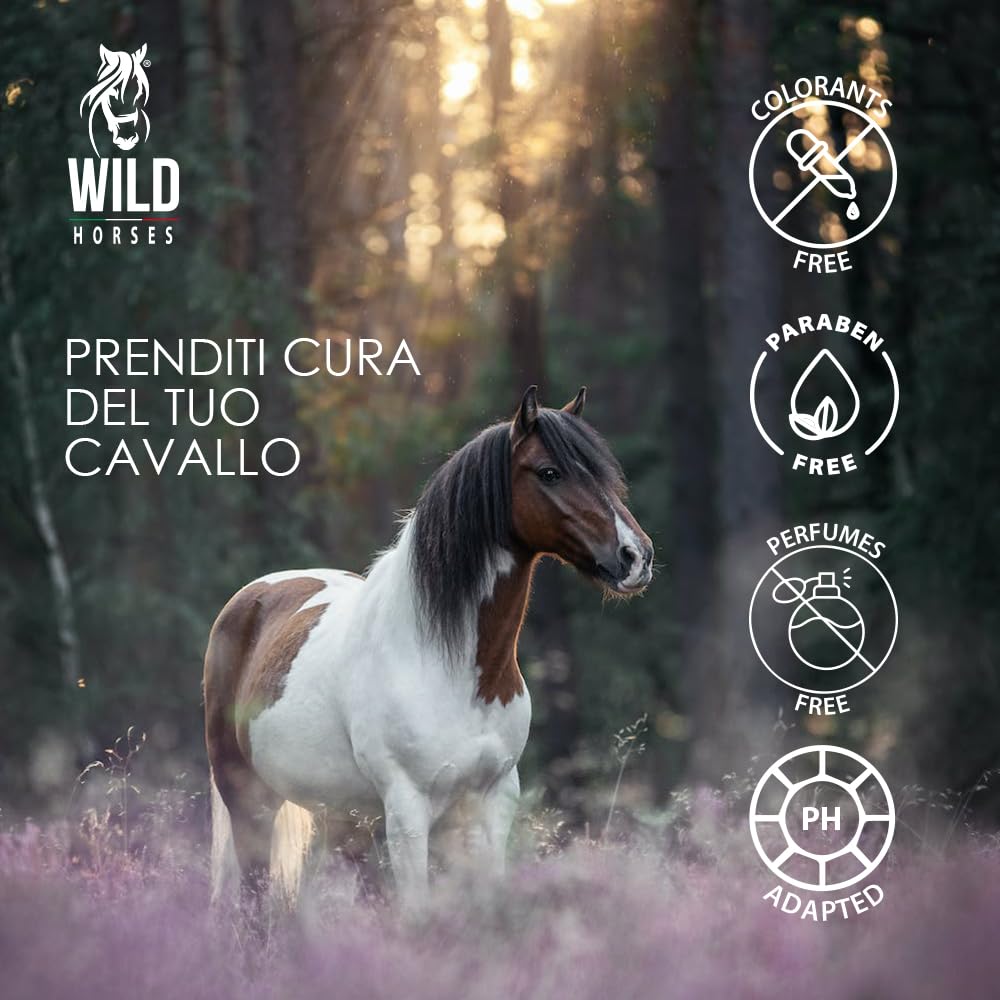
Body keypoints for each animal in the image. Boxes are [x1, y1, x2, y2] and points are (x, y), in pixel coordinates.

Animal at [203, 386, 654, 911]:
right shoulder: (407, 810)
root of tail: (250, 598)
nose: (636, 556)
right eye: (549, 472)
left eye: (603, 472)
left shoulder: (492, 803)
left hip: (339, 816)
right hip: (249, 799)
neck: (448, 665)